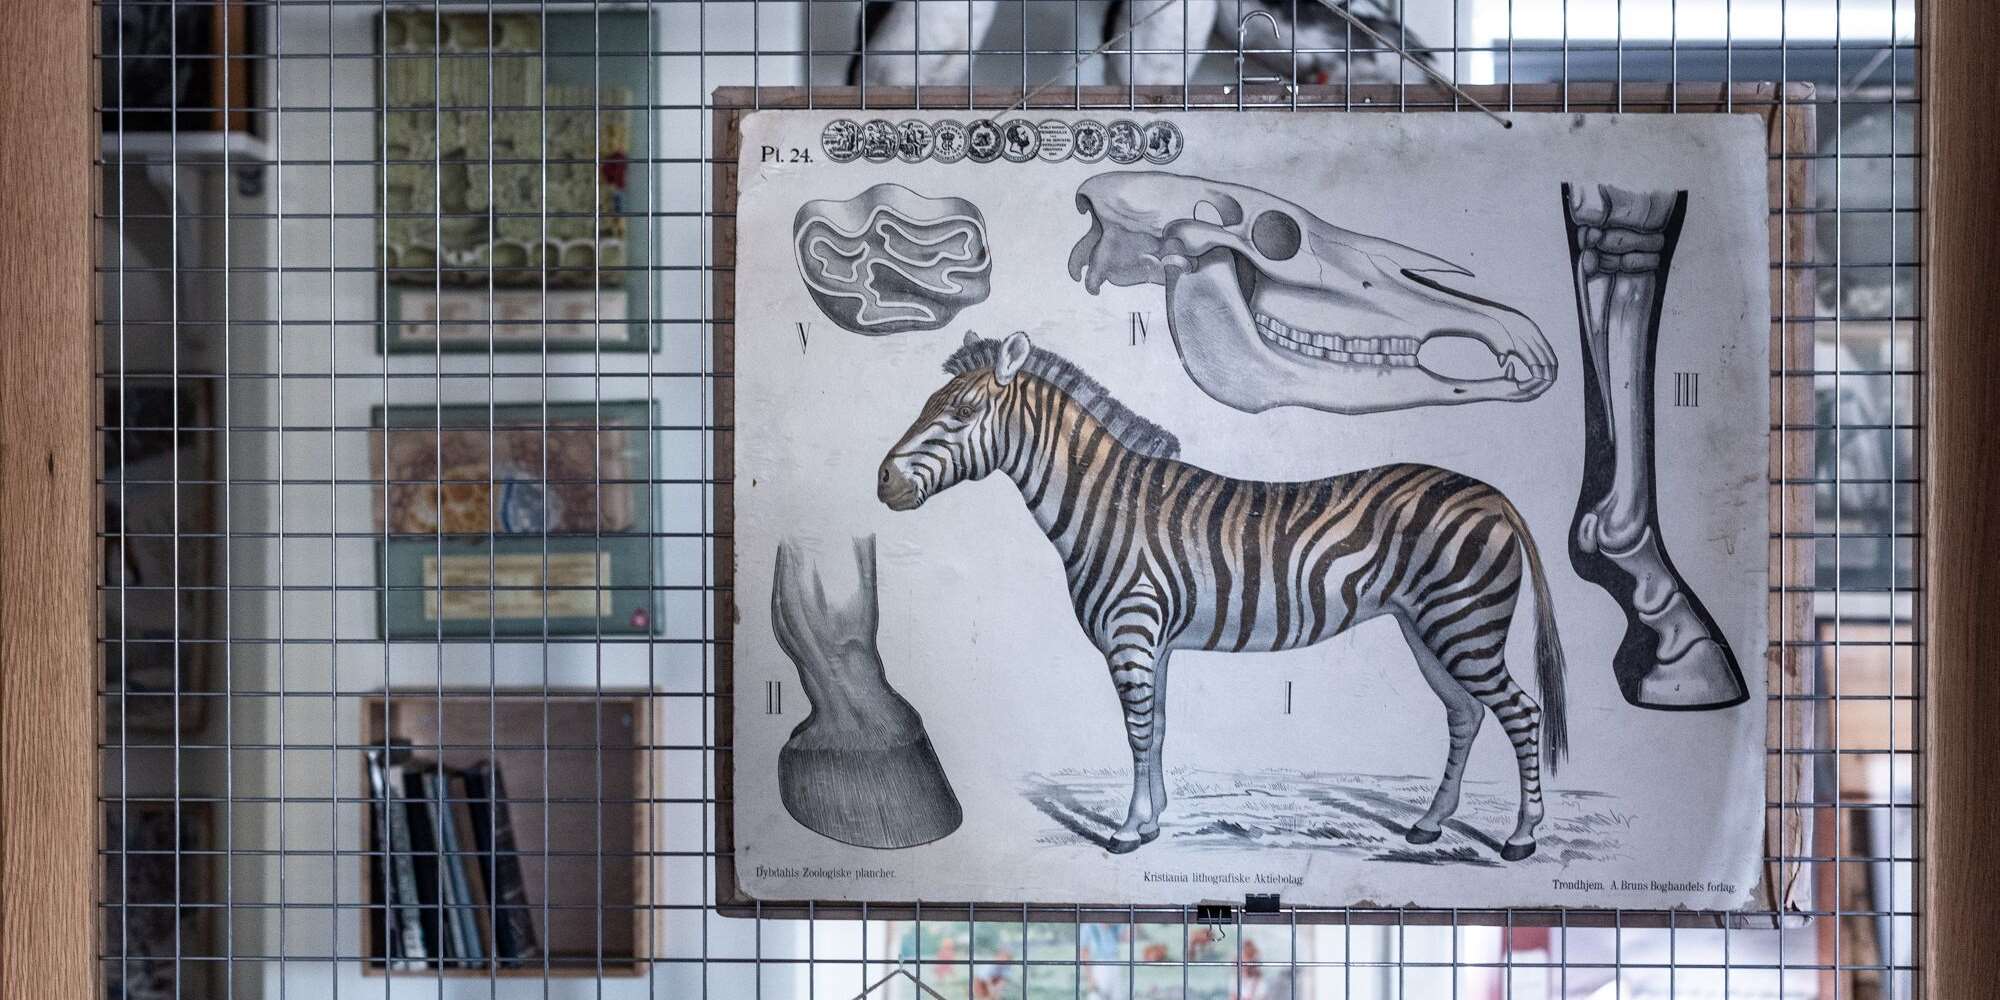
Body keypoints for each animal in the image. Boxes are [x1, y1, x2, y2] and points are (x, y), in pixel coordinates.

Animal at [876, 331, 1570, 860]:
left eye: (961, 414)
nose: (882, 481)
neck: (1106, 506)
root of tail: (1493, 495)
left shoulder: (1132, 632)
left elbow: (1136, 732)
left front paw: (1126, 831)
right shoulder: (1154, 642)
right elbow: (1156, 729)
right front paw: (1153, 819)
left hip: (1465, 623)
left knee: (1522, 713)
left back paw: (1522, 837)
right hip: (1428, 626)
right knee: (1466, 714)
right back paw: (1428, 824)